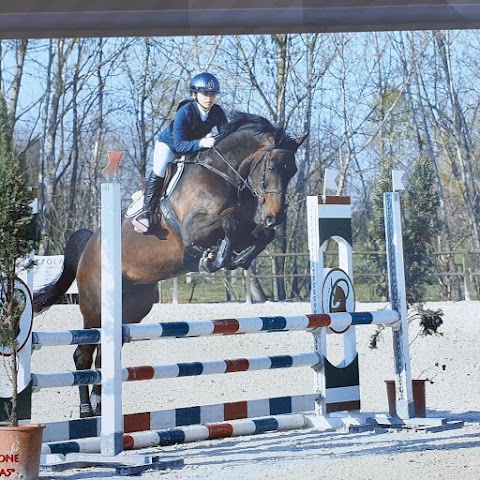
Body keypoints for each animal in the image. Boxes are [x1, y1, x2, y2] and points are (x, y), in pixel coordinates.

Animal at [32, 111, 308, 416]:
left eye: (293, 170)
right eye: (271, 166)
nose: (275, 217)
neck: (223, 174)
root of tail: (89, 244)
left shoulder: (249, 228)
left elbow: (257, 235)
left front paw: (234, 257)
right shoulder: (193, 228)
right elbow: (229, 222)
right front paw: (213, 259)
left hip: (132, 307)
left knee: (104, 354)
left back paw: (101, 405)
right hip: (95, 307)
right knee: (83, 353)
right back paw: (86, 410)